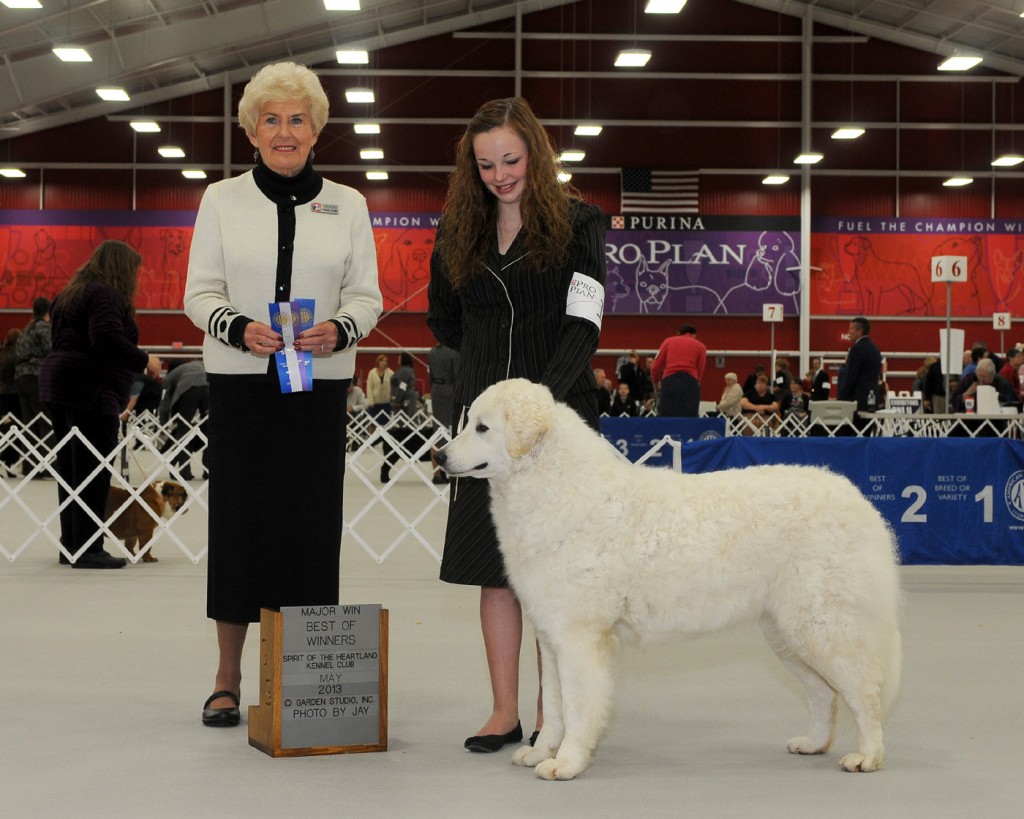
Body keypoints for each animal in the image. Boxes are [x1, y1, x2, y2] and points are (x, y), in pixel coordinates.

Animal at [436, 380, 901, 782]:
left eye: (482, 427)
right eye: (467, 421)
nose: (438, 457)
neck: (555, 485)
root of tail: (857, 499)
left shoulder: (578, 638)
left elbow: (578, 707)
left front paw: (566, 763)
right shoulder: (551, 639)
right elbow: (553, 707)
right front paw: (540, 752)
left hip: (823, 626)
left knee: (865, 693)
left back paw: (867, 756)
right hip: (787, 633)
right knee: (825, 695)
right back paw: (813, 743)